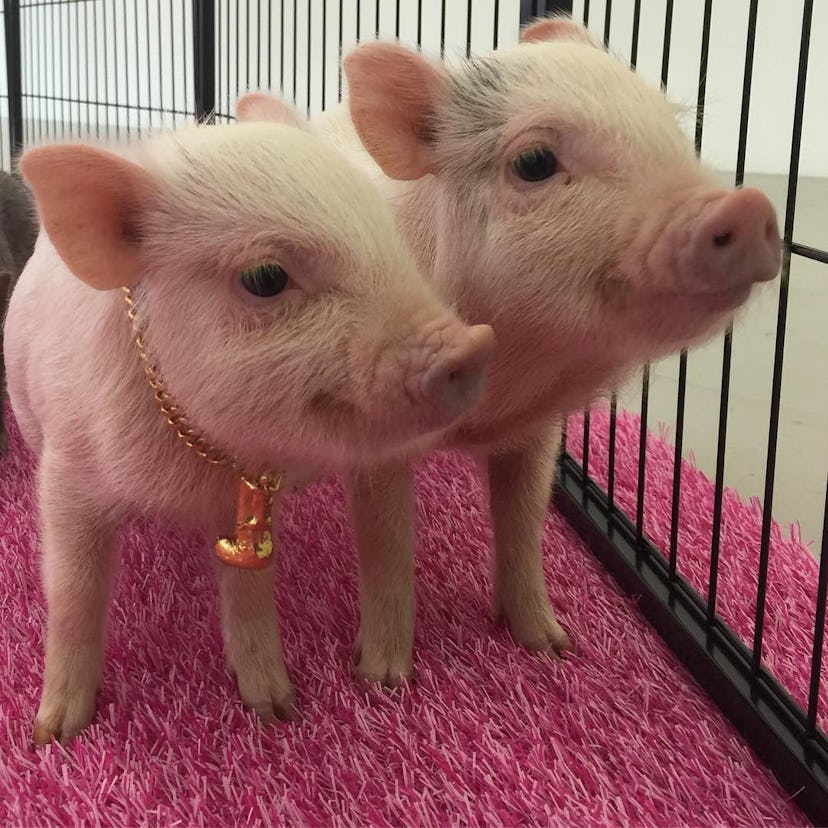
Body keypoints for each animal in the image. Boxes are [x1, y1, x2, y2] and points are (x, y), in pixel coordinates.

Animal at [5, 103, 495, 745]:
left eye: (386, 238)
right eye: (265, 277)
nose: (474, 345)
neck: (190, 464)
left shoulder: (246, 499)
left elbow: (250, 590)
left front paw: (279, 710)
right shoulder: (67, 471)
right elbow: (73, 598)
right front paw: (55, 734)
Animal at [236, 16, 782, 685]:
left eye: (674, 131)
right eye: (534, 161)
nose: (747, 205)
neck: (506, 387)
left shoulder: (537, 430)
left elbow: (525, 527)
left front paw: (553, 645)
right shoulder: (378, 434)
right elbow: (387, 545)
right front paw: (383, 679)